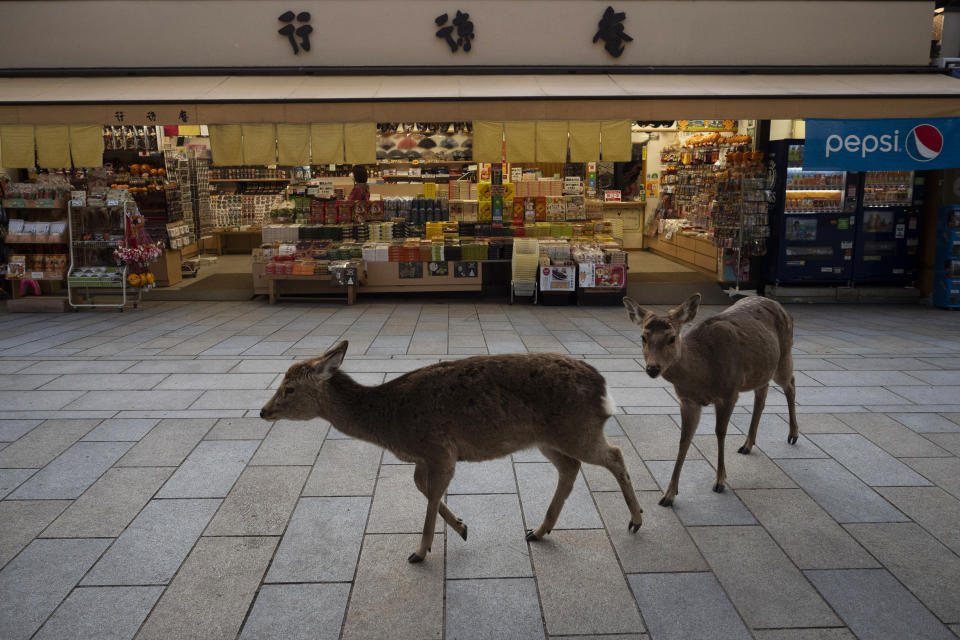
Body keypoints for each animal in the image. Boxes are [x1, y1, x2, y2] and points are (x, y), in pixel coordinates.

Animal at [260, 342, 644, 564]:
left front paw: (420, 551)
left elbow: (431, 493)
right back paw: (538, 530)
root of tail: (603, 388)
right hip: (548, 439)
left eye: (289, 388)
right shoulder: (425, 457)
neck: (391, 422)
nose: (264, 411)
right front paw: (461, 527)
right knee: (570, 467)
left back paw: (636, 520)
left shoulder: (440, 449)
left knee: (615, 454)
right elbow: (421, 486)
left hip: (578, 430)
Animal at [620, 292, 800, 508]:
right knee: (762, 395)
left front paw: (720, 481)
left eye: (672, 338)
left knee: (790, 384)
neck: (703, 371)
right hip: (763, 369)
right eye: (643, 337)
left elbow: (720, 432)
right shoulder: (688, 401)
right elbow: (684, 439)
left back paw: (793, 435)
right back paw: (747, 444)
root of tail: (779, 306)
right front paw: (668, 494)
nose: (653, 368)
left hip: (784, 355)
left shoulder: (729, 393)